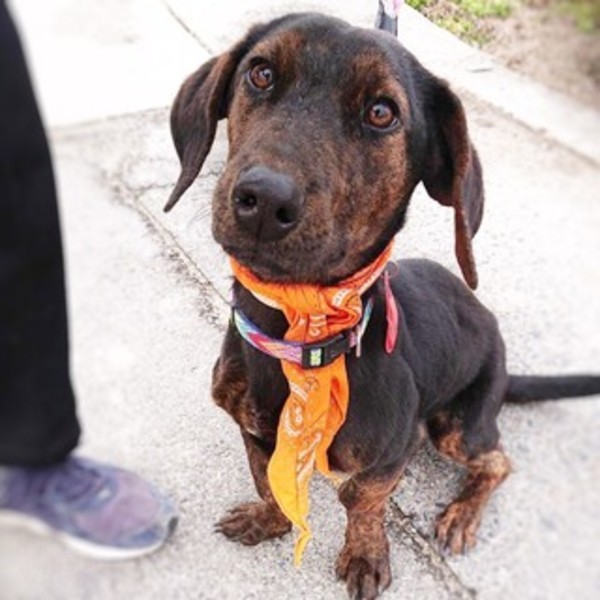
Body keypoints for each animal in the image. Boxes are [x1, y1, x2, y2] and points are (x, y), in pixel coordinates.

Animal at [165, 13, 600, 599]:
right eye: (260, 73)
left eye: (381, 112)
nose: (264, 200)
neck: (300, 332)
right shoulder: (252, 429)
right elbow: (269, 482)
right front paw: (269, 521)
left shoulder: (394, 448)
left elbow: (362, 500)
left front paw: (365, 554)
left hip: (456, 425)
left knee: (498, 460)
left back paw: (462, 513)